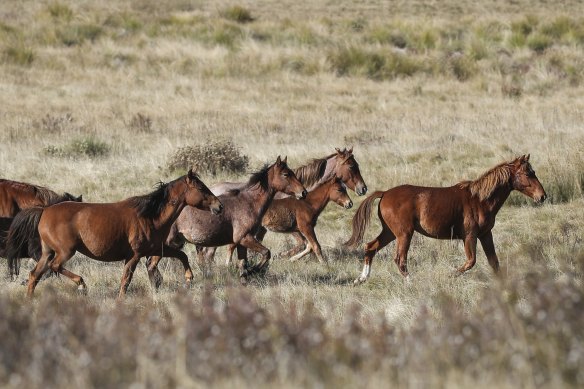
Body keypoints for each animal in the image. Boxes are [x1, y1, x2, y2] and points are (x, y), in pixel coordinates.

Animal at [5, 168, 222, 296]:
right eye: (202, 188)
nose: (219, 206)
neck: (149, 215)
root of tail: (44, 210)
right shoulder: (135, 255)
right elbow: (126, 280)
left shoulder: (155, 249)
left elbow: (181, 255)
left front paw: (189, 278)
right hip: (65, 251)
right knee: (55, 266)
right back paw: (81, 284)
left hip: (47, 251)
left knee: (35, 274)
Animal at [145, 155, 306, 284]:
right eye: (286, 174)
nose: (303, 192)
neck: (249, 202)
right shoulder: (245, 238)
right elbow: (266, 253)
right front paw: (255, 270)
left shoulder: (241, 242)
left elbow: (243, 264)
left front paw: (246, 278)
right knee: (151, 264)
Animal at [344, 155, 544, 284]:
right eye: (528, 174)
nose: (542, 196)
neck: (480, 200)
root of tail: (385, 193)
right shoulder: (469, 236)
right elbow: (471, 261)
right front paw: (451, 275)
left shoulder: (486, 234)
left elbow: (493, 262)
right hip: (404, 234)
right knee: (399, 259)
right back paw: (411, 282)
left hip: (390, 232)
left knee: (370, 247)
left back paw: (361, 278)